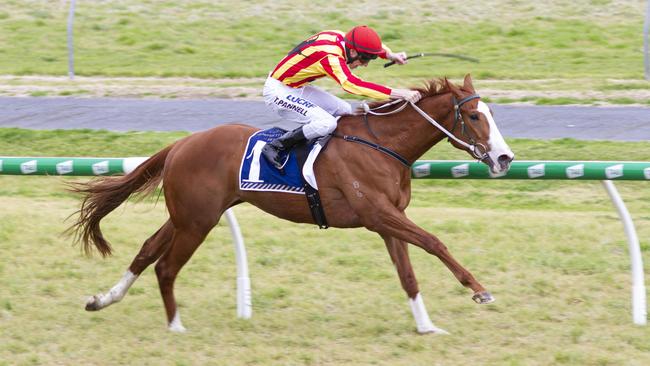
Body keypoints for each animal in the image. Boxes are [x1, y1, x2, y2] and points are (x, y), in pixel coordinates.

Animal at [69, 74, 512, 334]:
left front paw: (426, 326)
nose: (505, 158)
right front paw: (480, 290)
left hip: (188, 216)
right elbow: (435, 242)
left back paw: (103, 300)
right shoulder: (378, 214)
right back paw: (175, 327)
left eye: (490, 112)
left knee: (146, 252)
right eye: (475, 116)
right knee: (165, 266)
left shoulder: (390, 219)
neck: (383, 145)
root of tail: (181, 144)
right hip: (197, 222)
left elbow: (407, 275)